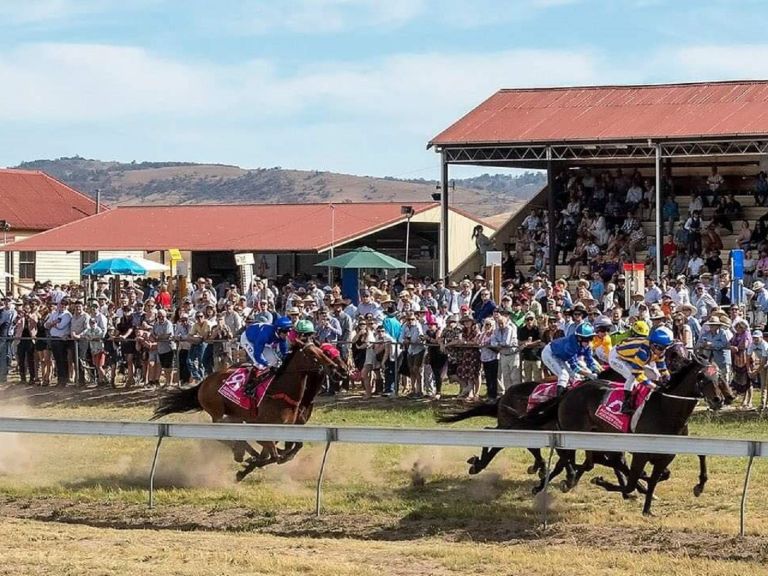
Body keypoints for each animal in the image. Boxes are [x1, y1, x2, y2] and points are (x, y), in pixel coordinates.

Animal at [153, 342, 344, 482]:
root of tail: (205, 381)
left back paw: (244, 454)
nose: (338, 370)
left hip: (234, 416)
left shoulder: (288, 428)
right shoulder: (267, 427)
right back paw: (241, 452)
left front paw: (249, 466)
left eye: (324, 352)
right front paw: (250, 465)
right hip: (218, 412)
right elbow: (276, 456)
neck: (282, 390)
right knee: (222, 434)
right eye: (314, 354)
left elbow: (286, 451)